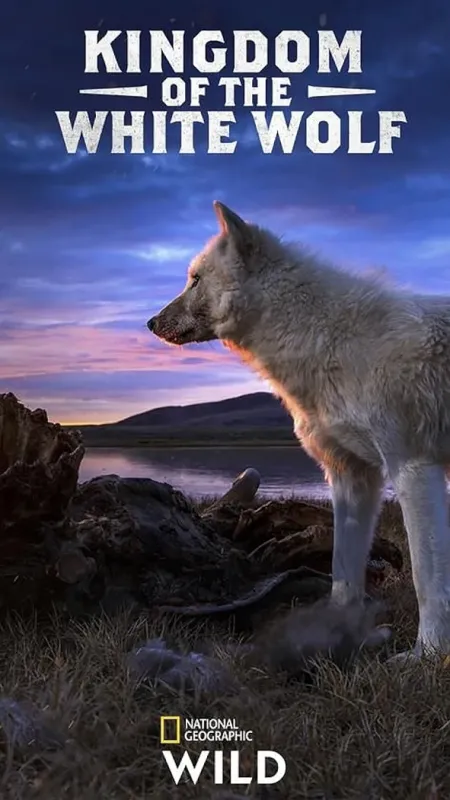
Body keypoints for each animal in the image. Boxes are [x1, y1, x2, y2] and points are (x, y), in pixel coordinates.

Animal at [148, 201, 450, 659]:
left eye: (195, 279)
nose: (150, 323)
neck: (325, 338)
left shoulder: (413, 469)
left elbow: (426, 580)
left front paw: (426, 655)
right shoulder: (351, 477)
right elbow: (343, 569)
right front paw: (335, 627)